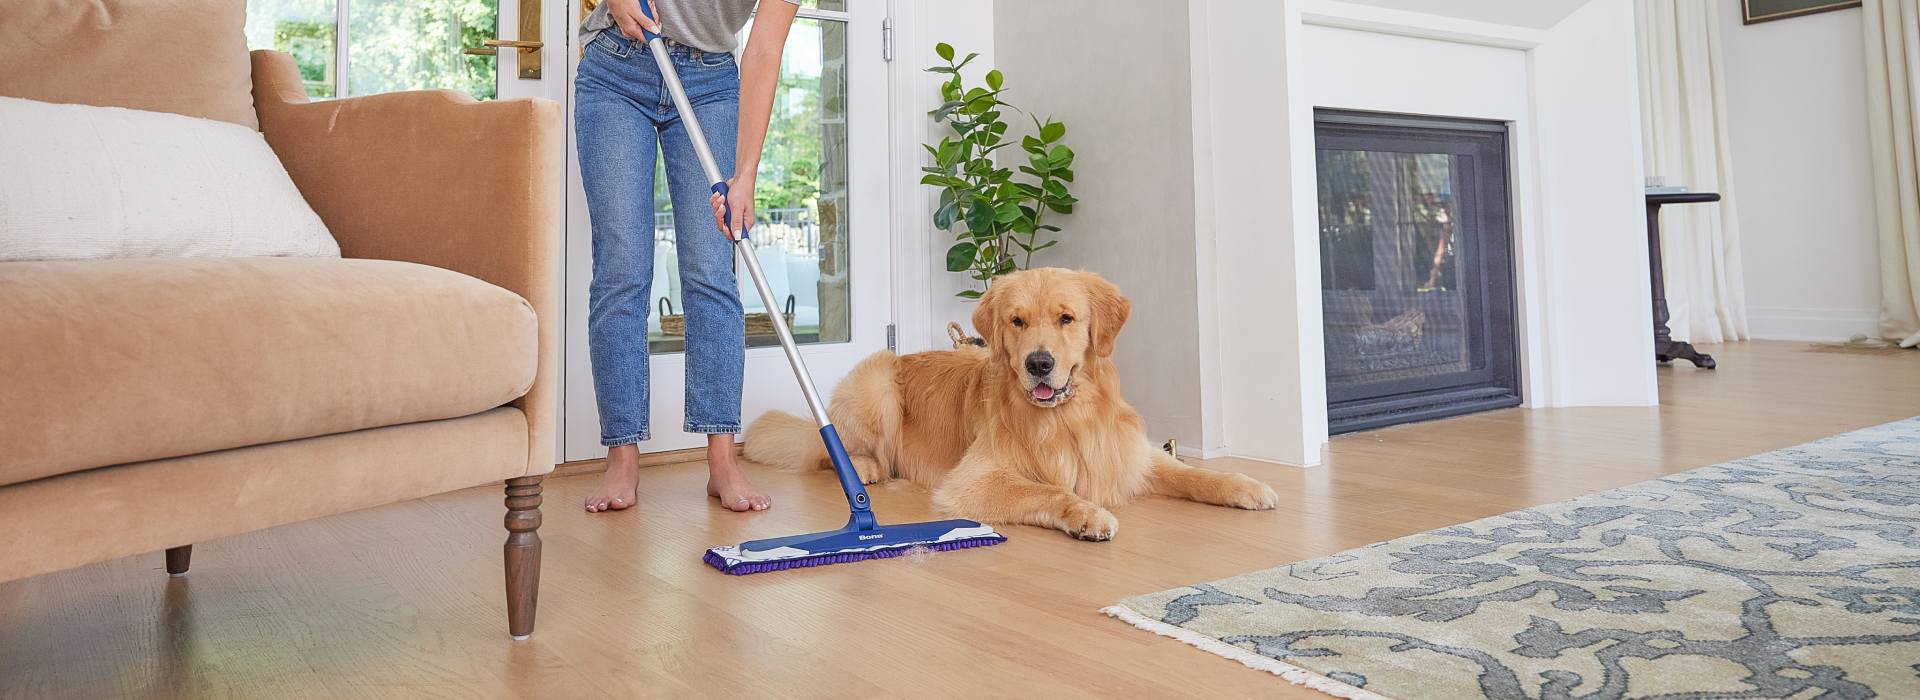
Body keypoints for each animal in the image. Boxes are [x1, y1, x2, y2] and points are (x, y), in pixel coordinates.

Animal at [744, 266, 1274, 540]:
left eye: (1066, 318)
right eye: (1016, 321)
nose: (1038, 364)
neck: (1067, 418)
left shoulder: (1129, 455)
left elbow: (1195, 474)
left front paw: (1246, 486)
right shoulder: (971, 481)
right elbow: (1049, 491)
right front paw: (1088, 514)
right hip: (875, 382)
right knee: (827, 451)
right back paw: (867, 468)